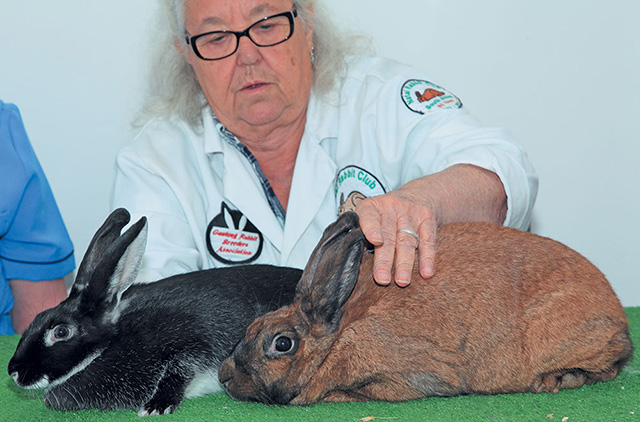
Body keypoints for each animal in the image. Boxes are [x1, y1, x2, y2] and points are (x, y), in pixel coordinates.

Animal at [7, 208, 301, 416]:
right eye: (37, 318)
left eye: (60, 332)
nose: (13, 371)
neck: (111, 343)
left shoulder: (193, 342)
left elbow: (179, 369)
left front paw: (157, 405)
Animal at [218, 211, 633, 405]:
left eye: (282, 344)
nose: (224, 376)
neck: (337, 338)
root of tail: (618, 319)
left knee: (609, 367)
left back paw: (557, 380)